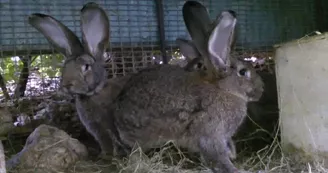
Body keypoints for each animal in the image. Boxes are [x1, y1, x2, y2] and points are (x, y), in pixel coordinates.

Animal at [105, 0, 264, 172]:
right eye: (243, 72)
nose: (261, 90)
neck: (223, 89)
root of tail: (116, 119)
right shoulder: (211, 132)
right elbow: (216, 156)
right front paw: (234, 169)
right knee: (135, 152)